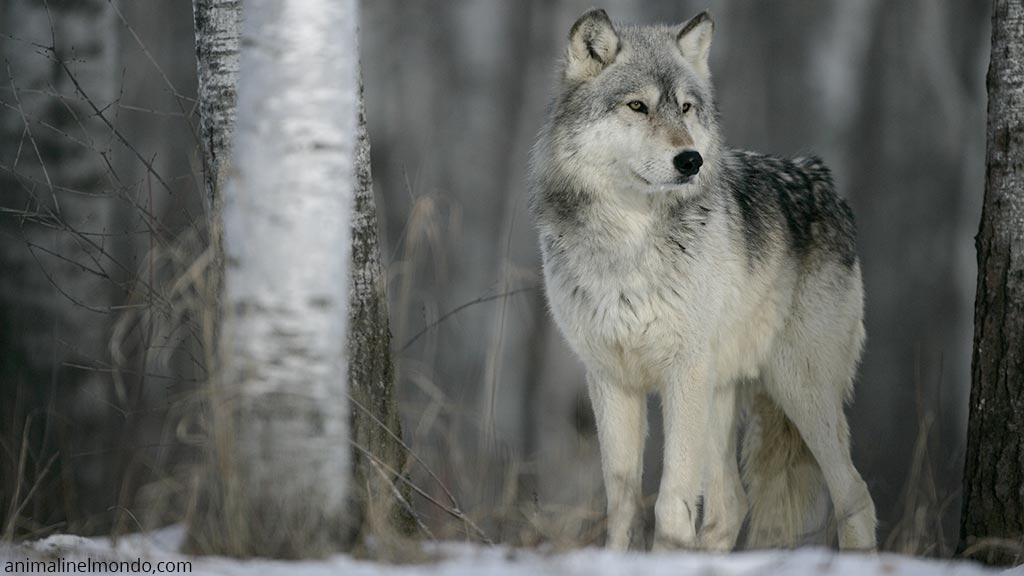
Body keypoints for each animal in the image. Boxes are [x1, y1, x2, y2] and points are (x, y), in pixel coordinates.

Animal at [530, 9, 877, 552]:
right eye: (638, 106)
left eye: (687, 108)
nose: (690, 159)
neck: (629, 241)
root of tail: (823, 180)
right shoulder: (610, 378)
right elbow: (622, 500)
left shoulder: (683, 373)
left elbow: (670, 500)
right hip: (722, 394)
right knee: (731, 505)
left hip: (797, 387)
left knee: (855, 493)